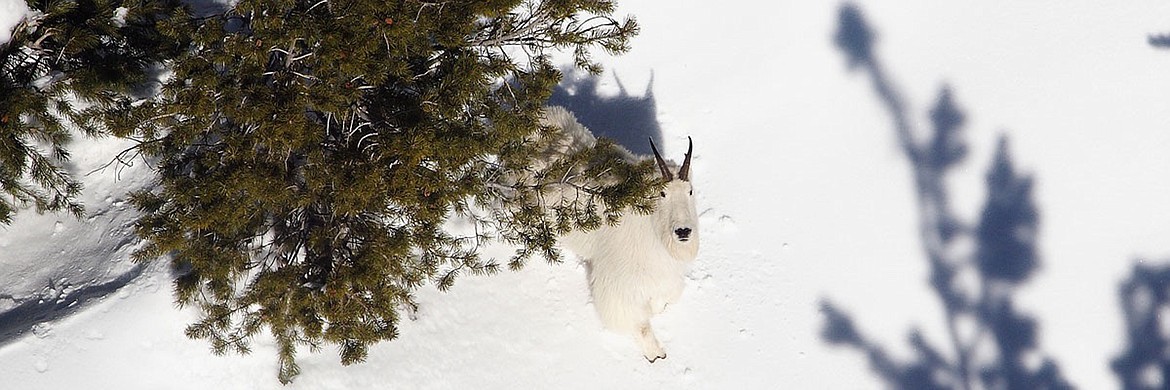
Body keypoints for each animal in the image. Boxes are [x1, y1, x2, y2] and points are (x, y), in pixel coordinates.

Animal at [540, 106, 702, 360]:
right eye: (662, 194)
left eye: (691, 191)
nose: (683, 232)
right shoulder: (616, 284)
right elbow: (638, 322)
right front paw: (655, 354)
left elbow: (664, 300)